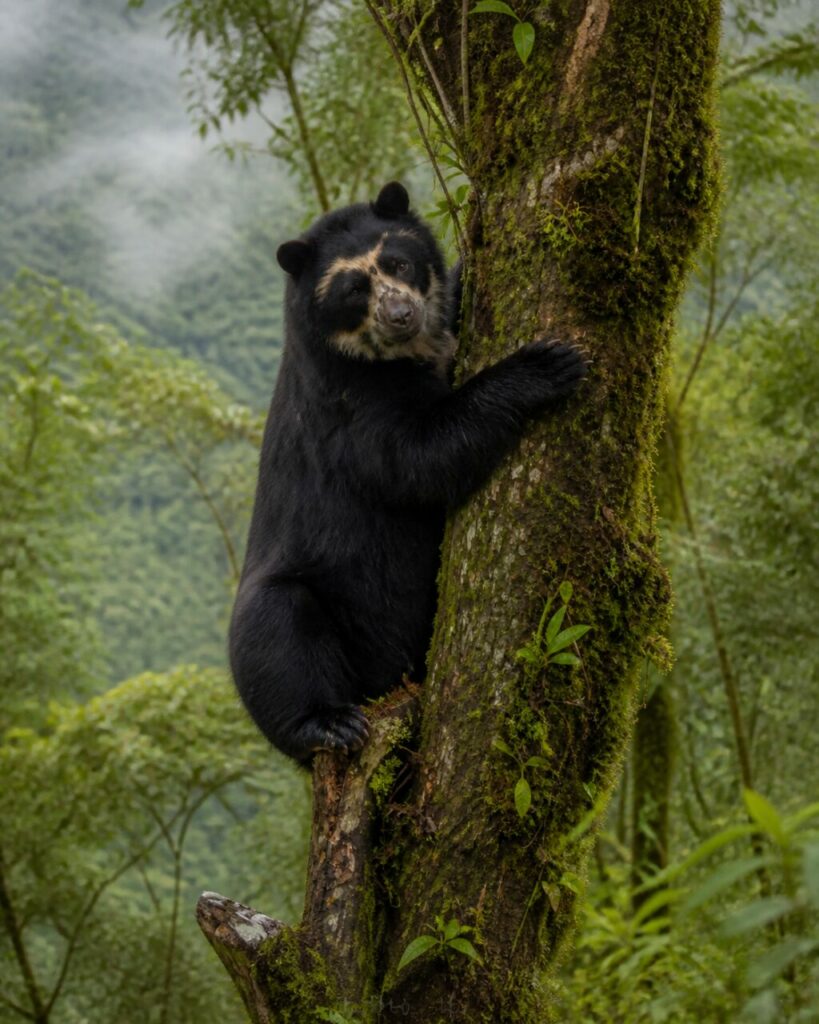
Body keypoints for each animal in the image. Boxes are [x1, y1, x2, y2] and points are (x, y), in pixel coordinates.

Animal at [229, 181, 586, 764]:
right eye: (354, 289)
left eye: (398, 262)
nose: (400, 313)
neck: (398, 353)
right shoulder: (348, 403)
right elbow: (416, 458)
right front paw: (548, 364)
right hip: (291, 609)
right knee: (276, 633)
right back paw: (330, 723)